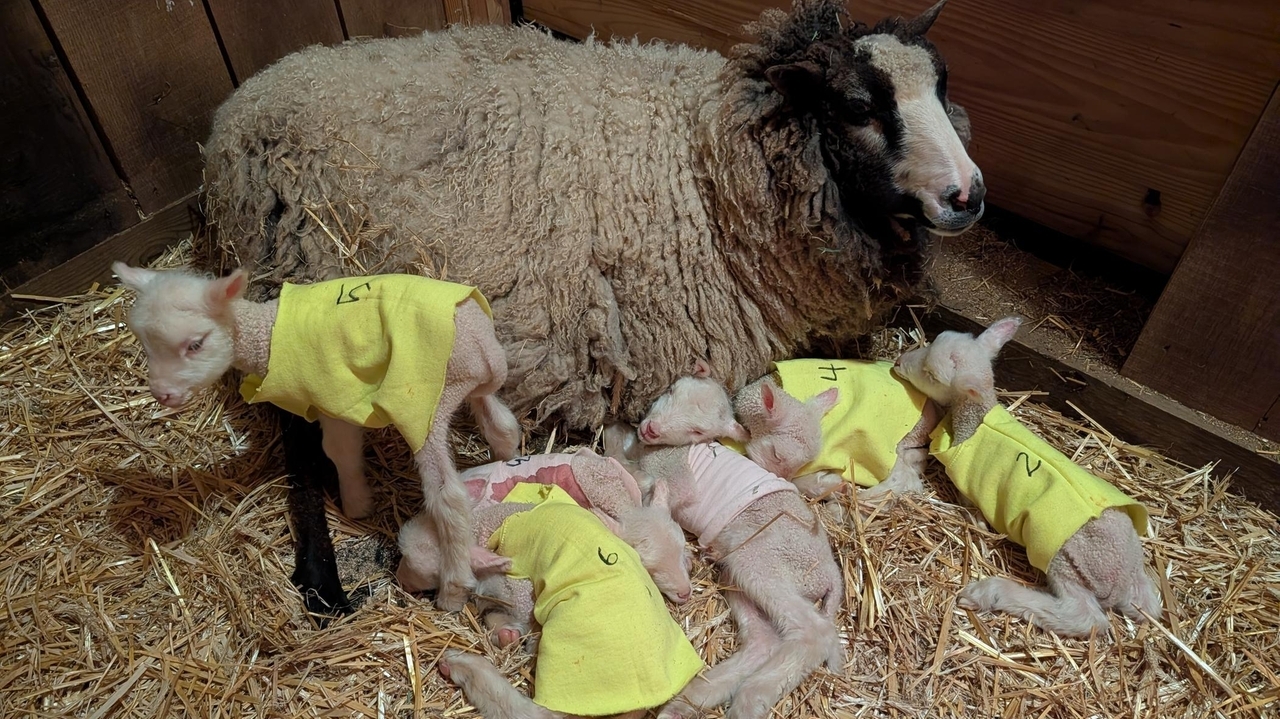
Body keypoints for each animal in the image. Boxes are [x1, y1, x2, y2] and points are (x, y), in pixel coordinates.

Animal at [109, 263, 521, 612]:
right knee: (503, 426)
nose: (162, 394)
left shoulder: (332, 396)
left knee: (448, 497)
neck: (266, 334)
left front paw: (357, 504)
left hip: (422, 405)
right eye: (145, 344)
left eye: (195, 343)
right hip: (466, 386)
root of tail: (483, 344)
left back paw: (454, 588)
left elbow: (339, 451)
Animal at [402, 484, 703, 717]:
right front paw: (506, 633)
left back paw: (458, 663)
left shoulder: (514, 584)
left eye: (433, 571)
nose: (401, 578)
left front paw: (507, 633)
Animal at [893, 317, 1162, 636]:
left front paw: (976, 522)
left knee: (1084, 618)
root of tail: (1123, 580)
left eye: (930, 374)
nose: (898, 362)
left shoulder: (967, 485)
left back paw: (989, 592)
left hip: (1066, 563)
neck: (975, 421)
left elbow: (972, 509)